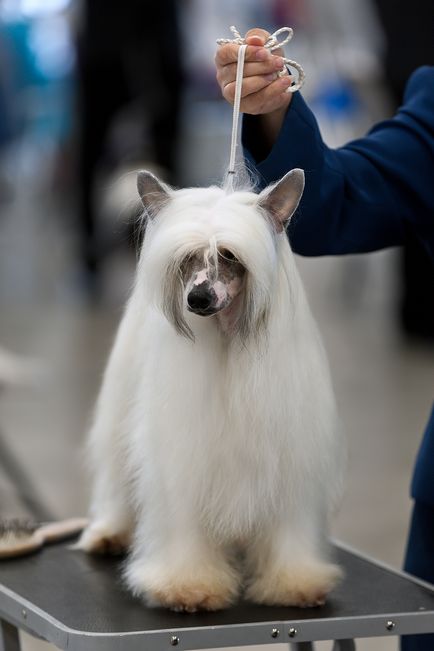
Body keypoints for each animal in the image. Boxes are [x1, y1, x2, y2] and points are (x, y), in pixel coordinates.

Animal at [78, 168, 344, 612]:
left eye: (230, 256)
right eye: (185, 258)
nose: (198, 298)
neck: (227, 339)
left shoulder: (289, 452)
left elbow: (288, 525)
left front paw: (293, 582)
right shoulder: (184, 455)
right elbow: (183, 522)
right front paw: (188, 585)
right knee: (115, 475)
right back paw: (109, 533)